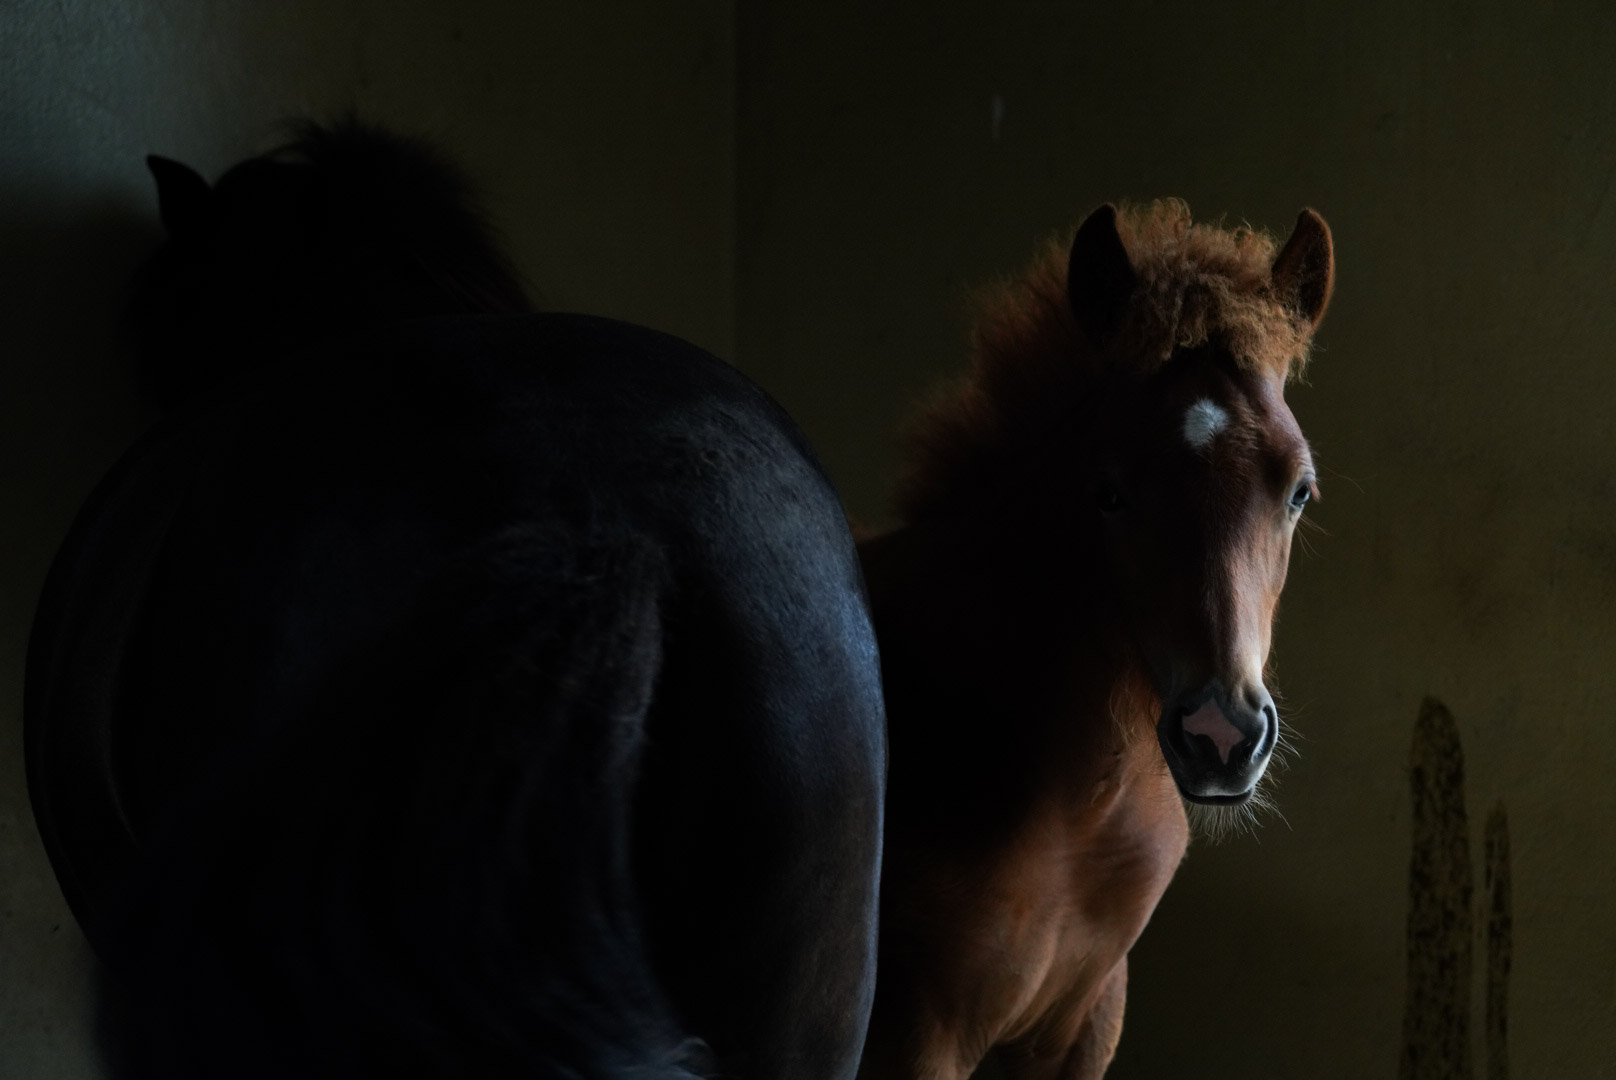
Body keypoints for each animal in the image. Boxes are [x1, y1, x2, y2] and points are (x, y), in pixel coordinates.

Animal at [859, 202, 1338, 1080]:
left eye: (1299, 491)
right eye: (1109, 492)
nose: (1221, 735)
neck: (1078, 810)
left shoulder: (1087, 1022)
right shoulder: (916, 1033)